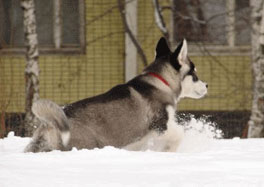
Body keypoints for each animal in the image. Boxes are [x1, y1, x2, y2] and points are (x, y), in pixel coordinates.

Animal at [23, 37, 207, 153]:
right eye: (194, 73)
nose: (207, 85)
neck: (161, 82)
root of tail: (49, 123)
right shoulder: (160, 125)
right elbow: (179, 133)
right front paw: (169, 150)